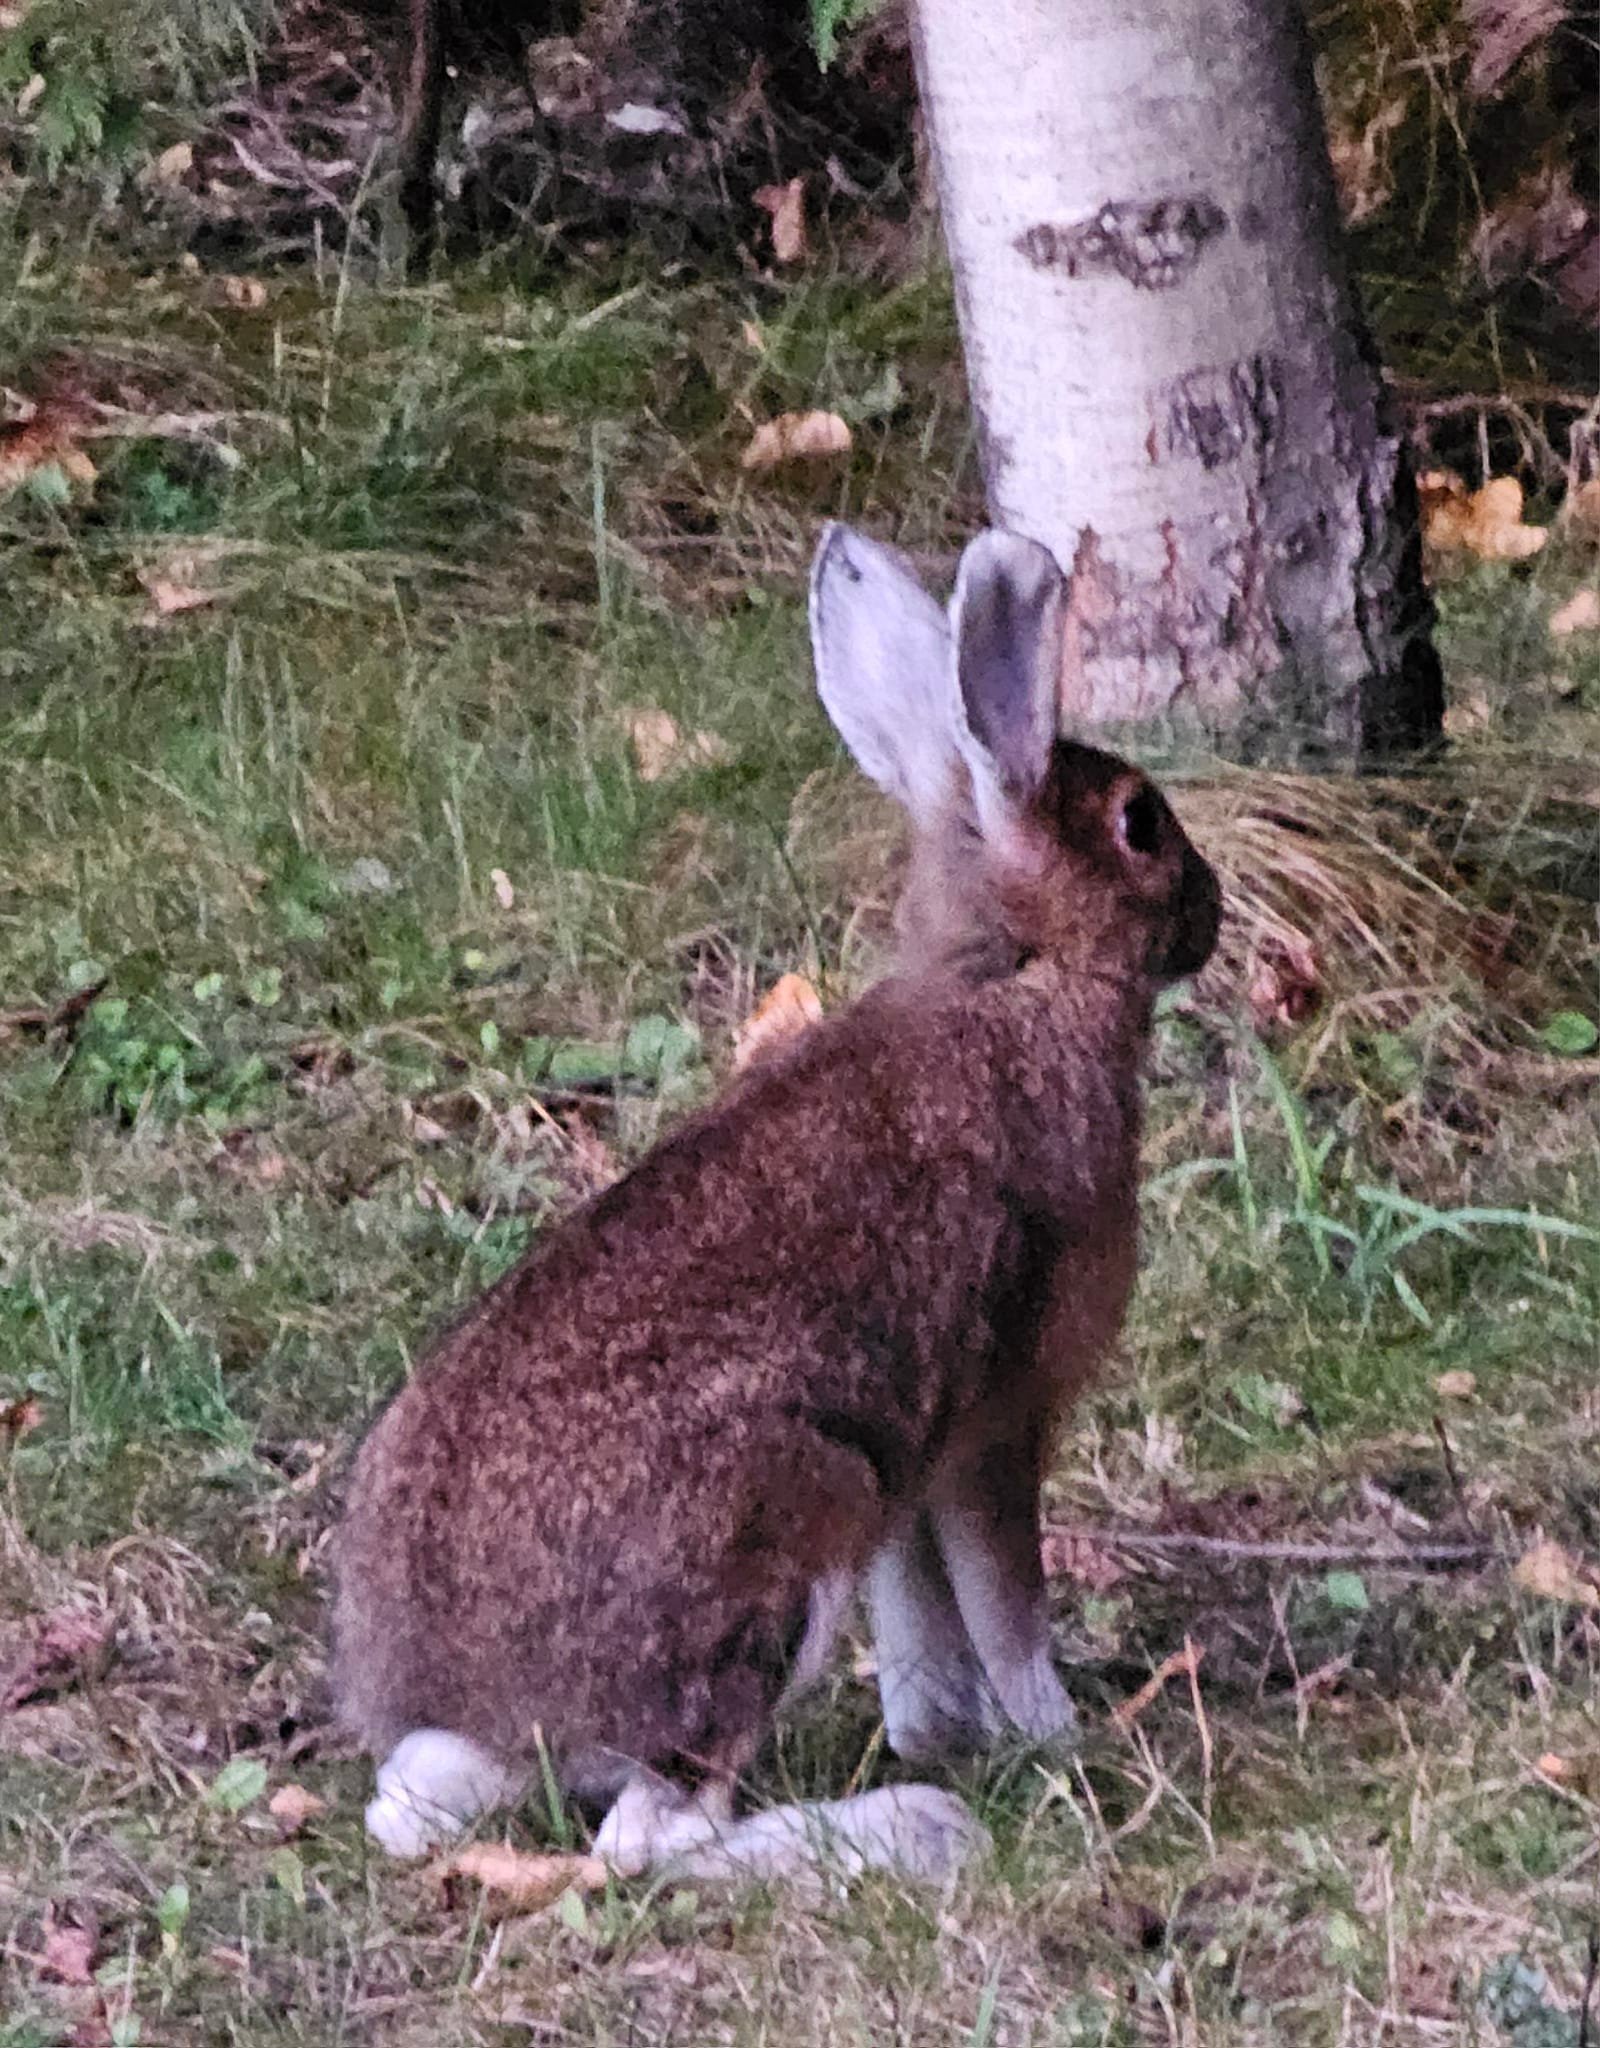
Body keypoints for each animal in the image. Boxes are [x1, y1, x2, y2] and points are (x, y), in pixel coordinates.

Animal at [330, 521, 1222, 1883]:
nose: (1210, 912)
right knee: (650, 1840)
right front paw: (1054, 1737)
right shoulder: (994, 1417)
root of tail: (473, 1709)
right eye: (1138, 822)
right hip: (786, 1516)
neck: (1019, 972)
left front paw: (944, 1730)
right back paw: (910, 1832)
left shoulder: (914, 1453)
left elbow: (921, 1619)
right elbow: (1005, 1601)